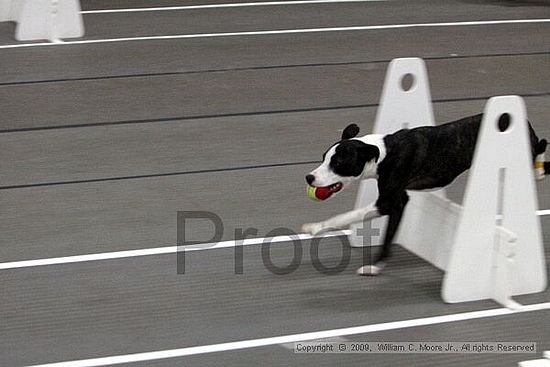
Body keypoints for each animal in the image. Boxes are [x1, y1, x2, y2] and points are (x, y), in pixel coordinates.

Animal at [304, 115, 548, 276]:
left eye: (338, 163)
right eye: (323, 158)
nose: (309, 177)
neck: (383, 153)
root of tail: (525, 123)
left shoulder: (390, 203)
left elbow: (351, 217)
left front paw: (317, 228)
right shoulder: (400, 198)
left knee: (542, 148)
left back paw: (538, 169)